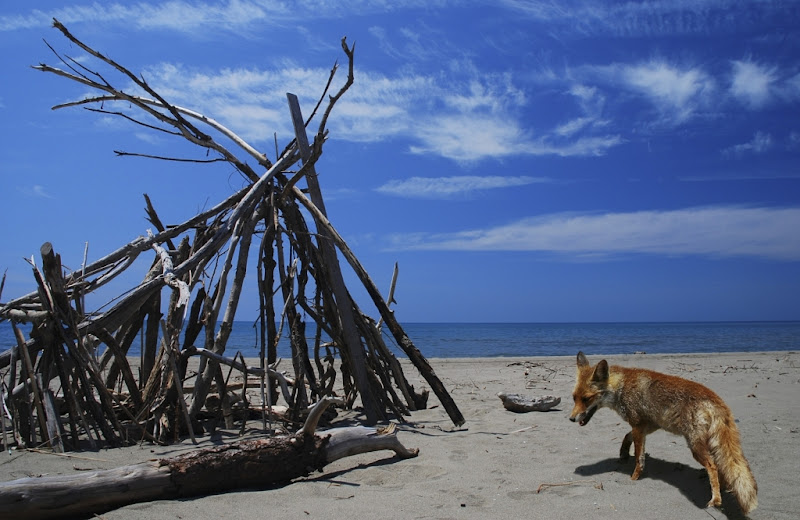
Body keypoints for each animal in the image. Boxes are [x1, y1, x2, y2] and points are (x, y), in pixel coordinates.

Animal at [568, 352, 756, 512]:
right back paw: (722, 488)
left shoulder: (639, 425)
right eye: (574, 398)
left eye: (586, 399)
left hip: (695, 446)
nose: (571, 419)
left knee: (713, 466)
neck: (621, 387)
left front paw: (634, 478)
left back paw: (716, 499)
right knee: (721, 465)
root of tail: (717, 400)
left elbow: (639, 458)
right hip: (708, 443)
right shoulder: (649, 425)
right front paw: (623, 452)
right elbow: (627, 436)